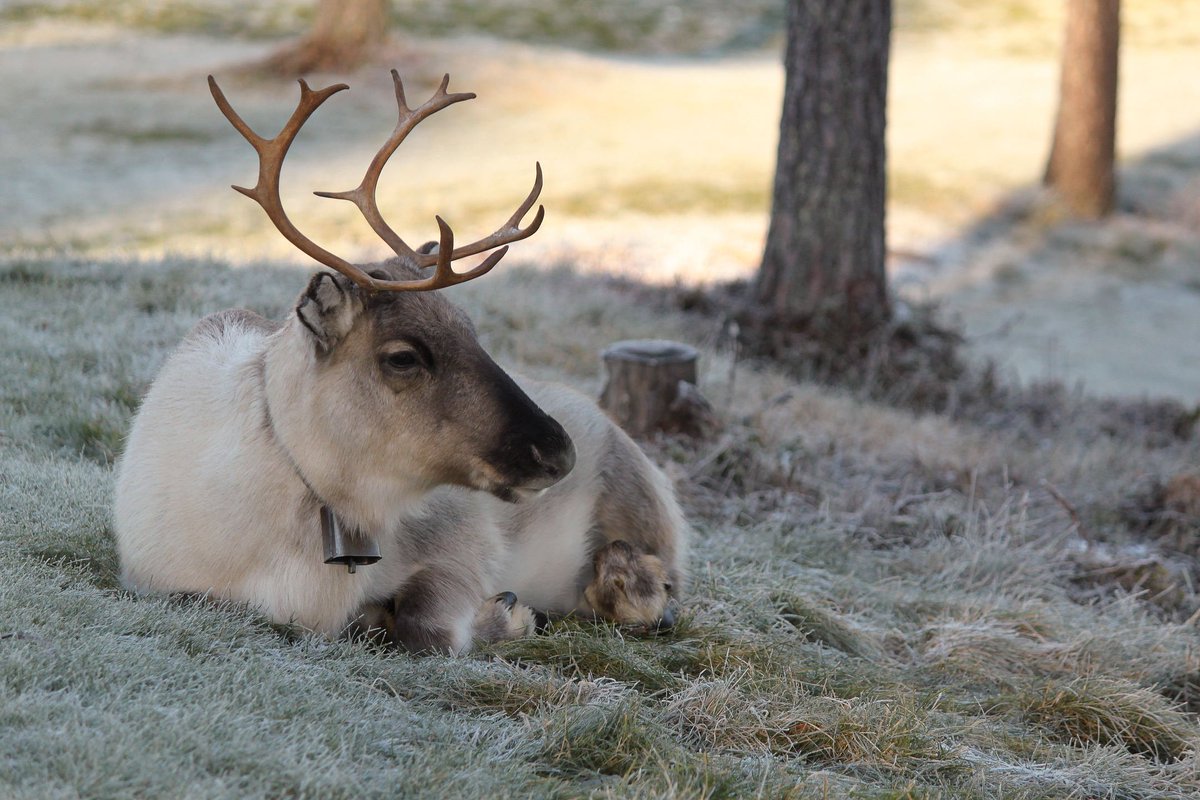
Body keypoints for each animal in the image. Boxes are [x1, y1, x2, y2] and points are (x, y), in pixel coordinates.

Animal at [112, 71, 688, 654]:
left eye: (471, 328)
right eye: (404, 357)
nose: (557, 451)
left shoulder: (468, 541)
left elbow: (428, 628)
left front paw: (513, 614)